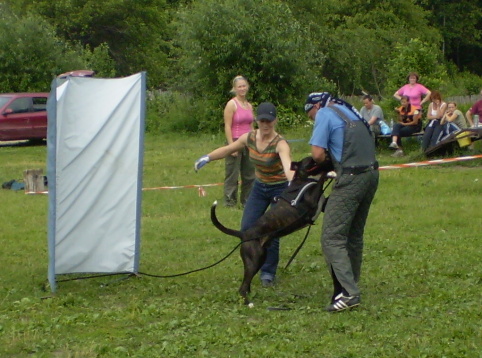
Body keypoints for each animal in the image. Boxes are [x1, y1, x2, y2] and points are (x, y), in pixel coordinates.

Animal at [211, 155, 332, 304]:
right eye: (312, 161)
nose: (328, 158)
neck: (303, 179)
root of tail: (244, 234)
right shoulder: (312, 200)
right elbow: (320, 180)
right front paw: (328, 173)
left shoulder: (322, 205)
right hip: (254, 259)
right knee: (242, 287)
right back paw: (248, 302)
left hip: (260, 257)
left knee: (247, 283)